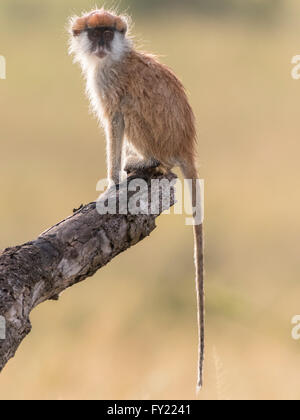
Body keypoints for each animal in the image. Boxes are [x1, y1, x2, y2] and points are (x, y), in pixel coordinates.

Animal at [68, 9, 204, 390]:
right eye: (94, 33)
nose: (100, 44)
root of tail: (183, 146)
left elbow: (115, 120)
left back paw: (147, 161)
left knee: (130, 110)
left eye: (106, 33)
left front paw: (112, 182)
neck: (116, 57)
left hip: (155, 135)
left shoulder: (109, 83)